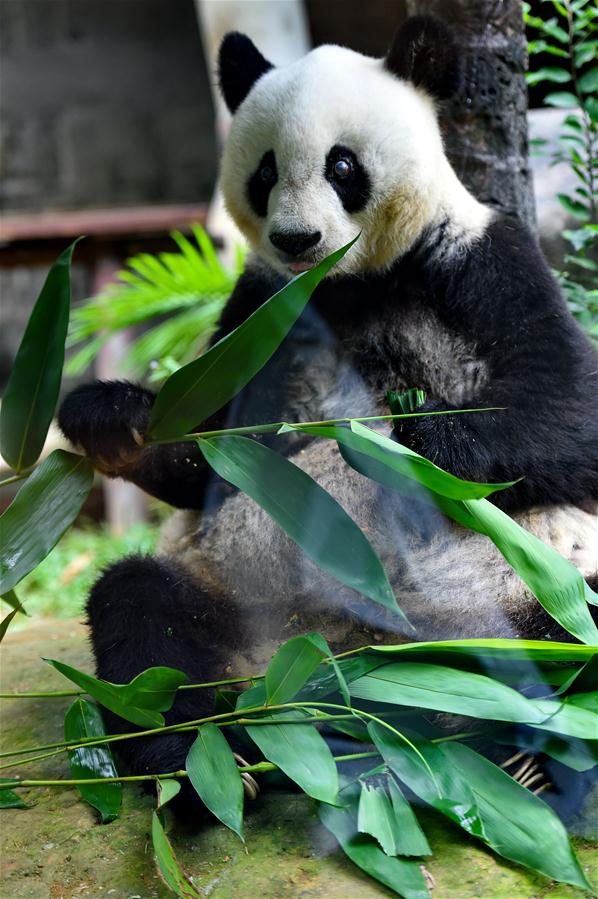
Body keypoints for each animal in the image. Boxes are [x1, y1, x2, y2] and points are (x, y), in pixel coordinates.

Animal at [59, 17, 598, 815]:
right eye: (265, 173)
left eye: (341, 165)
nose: (296, 240)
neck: (348, 279)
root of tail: (349, 667)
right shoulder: (261, 308)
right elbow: (205, 462)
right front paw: (113, 420)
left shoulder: (480, 258)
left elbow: (570, 413)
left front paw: (410, 444)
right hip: (233, 600)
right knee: (141, 620)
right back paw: (199, 766)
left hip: (532, 588)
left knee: (574, 634)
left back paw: (535, 759)